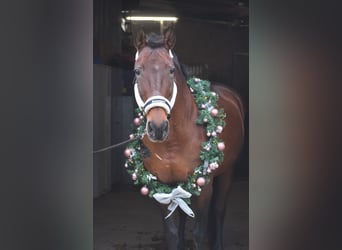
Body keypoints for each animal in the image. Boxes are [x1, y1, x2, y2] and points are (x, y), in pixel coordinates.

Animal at [132, 28, 246, 249]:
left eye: (171, 70)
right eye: (137, 71)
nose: (157, 128)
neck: (173, 142)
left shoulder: (204, 187)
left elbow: (200, 234)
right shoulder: (161, 187)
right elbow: (172, 234)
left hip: (227, 173)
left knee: (219, 211)